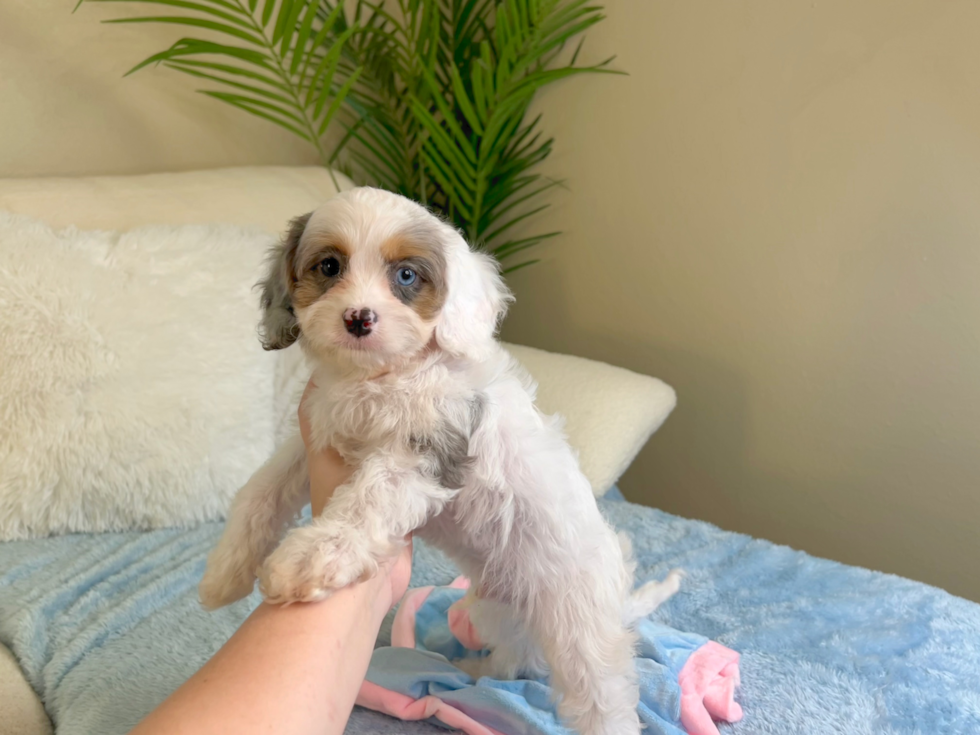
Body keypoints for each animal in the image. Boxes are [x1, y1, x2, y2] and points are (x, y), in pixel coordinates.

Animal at [199, 188, 680, 735]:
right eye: (329, 266)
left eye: (407, 275)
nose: (359, 318)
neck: (382, 376)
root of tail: (619, 599)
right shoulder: (316, 439)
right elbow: (262, 489)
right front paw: (226, 572)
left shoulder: (431, 449)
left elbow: (367, 499)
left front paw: (312, 556)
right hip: (495, 608)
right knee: (519, 660)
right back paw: (474, 672)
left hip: (580, 630)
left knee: (602, 697)